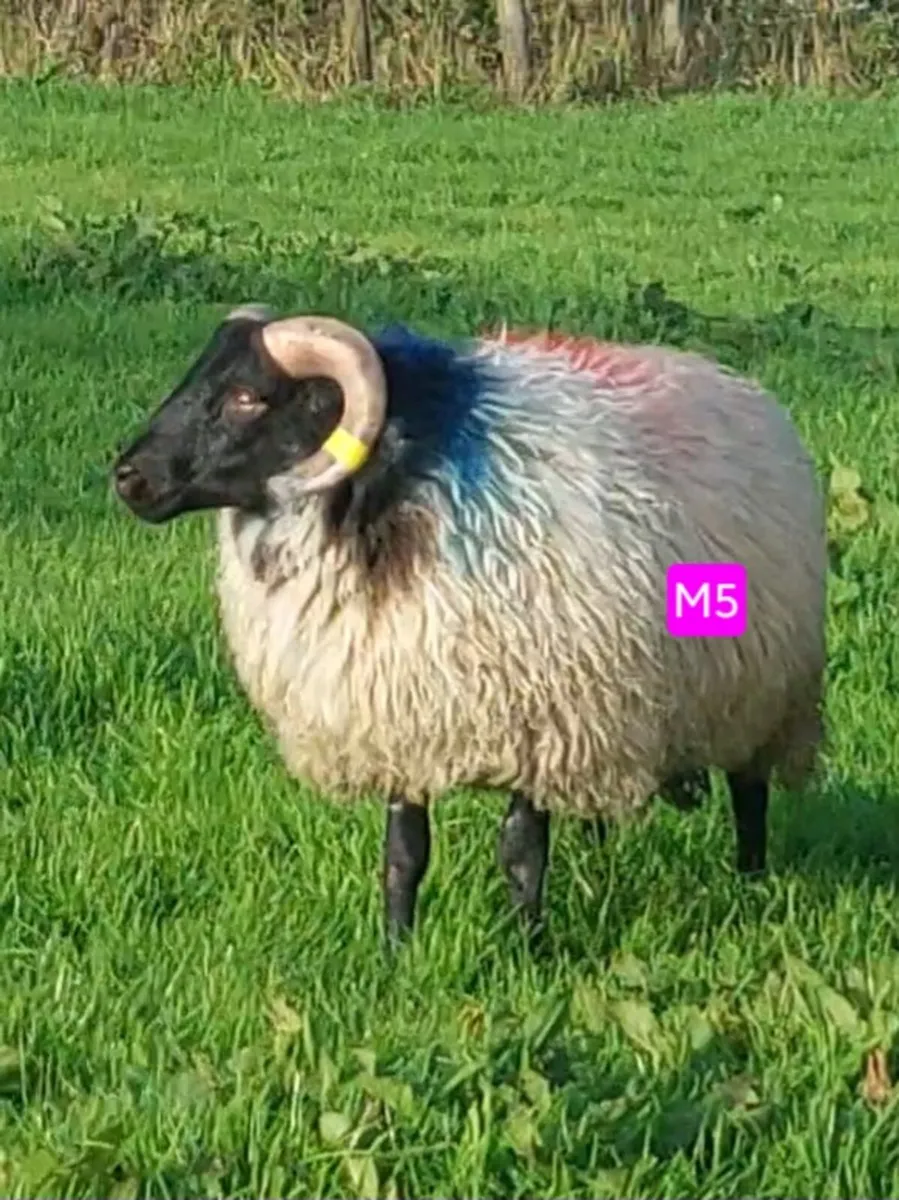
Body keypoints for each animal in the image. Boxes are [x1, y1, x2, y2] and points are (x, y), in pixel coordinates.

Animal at [111, 307, 827, 943]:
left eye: (246, 397)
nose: (128, 478)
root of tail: (737, 384)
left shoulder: (546, 721)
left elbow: (521, 851)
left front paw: (529, 951)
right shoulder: (401, 720)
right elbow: (404, 853)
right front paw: (396, 951)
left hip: (760, 692)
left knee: (750, 793)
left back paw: (750, 880)